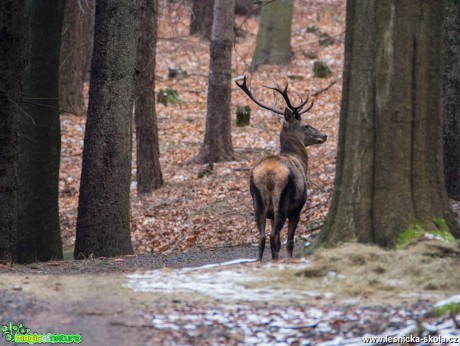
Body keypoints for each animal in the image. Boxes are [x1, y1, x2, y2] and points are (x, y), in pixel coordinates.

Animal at [237, 75, 328, 260]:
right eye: (306, 125)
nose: (324, 135)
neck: (299, 160)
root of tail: (269, 175)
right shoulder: (298, 208)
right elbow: (289, 241)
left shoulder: (270, 213)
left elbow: (278, 242)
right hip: (283, 201)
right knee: (273, 235)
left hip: (257, 202)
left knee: (263, 237)